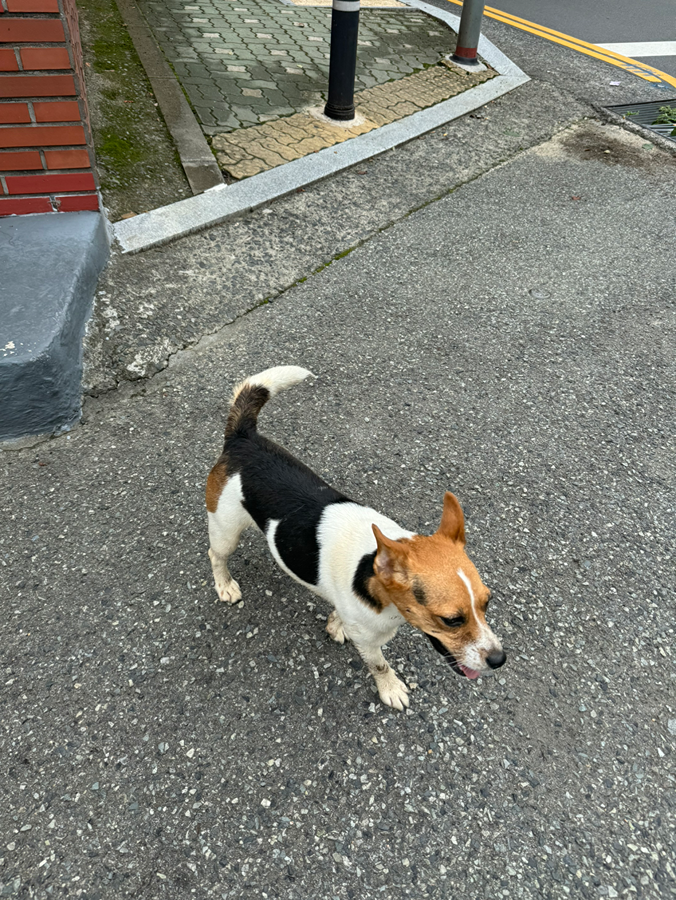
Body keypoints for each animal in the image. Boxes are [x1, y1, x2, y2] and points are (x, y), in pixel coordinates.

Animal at [206, 366, 508, 712]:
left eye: (488, 602)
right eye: (452, 620)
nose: (499, 660)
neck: (369, 569)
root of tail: (242, 438)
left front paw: (336, 624)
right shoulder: (370, 641)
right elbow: (380, 665)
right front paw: (390, 688)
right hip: (225, 530)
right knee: (217, 556)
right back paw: (224, 585)